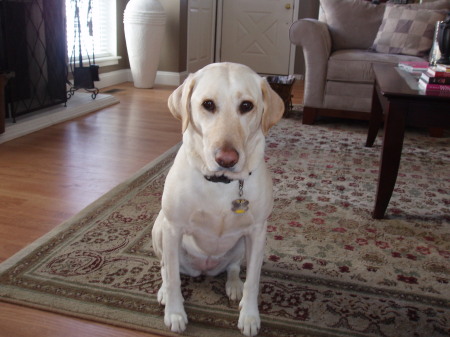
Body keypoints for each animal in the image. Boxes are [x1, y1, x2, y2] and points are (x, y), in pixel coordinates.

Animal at [153, 61, 284, 334]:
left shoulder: (257, 232)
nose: (226, 159)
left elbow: (253, 280)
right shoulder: (173, 228)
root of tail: (204, 269)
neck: (221, 182)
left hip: (239, 245)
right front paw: (175, 312)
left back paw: (234, 286)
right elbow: (173, 278)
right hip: (159, 230)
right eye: (208, 104)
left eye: (246, 105)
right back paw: (163, 292)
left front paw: (250, 317)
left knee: (233, 268)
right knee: (166, 269)